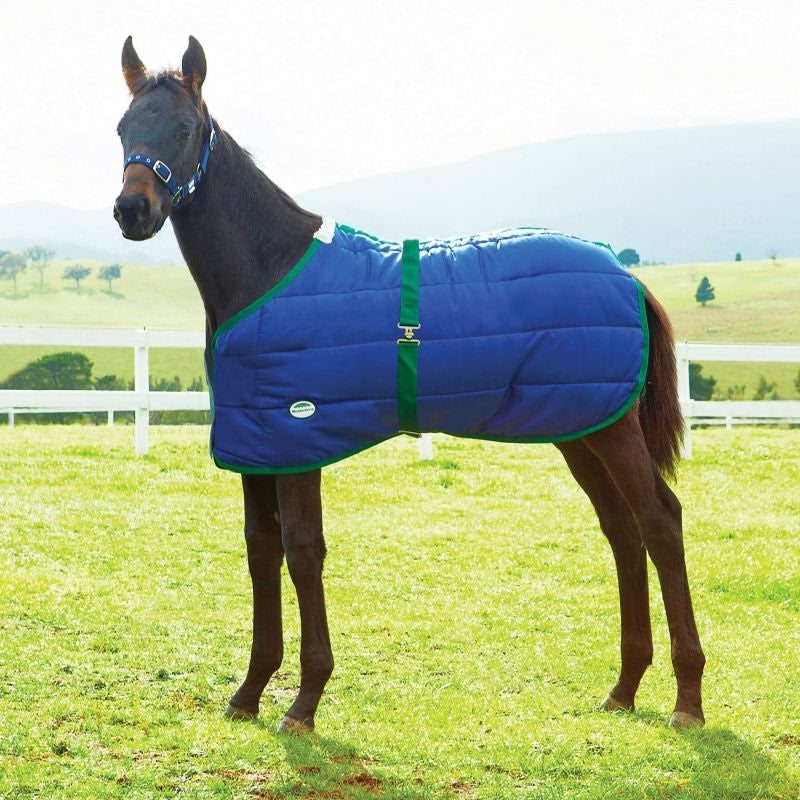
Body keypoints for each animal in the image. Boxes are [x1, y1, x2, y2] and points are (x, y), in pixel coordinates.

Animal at [113, 36, 705, 733]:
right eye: (122, 128)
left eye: (183, 128)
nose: (132, 211)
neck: (270, 271)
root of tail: (626, 275)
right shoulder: (256, 446)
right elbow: (262, 552)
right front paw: (250, 691)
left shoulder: (297, 442)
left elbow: (302, 552)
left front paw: (305, 701)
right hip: (580, 429)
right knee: (623, 531)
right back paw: (623, 688)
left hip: (611, 432)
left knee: (659, 521)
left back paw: (688, 700)